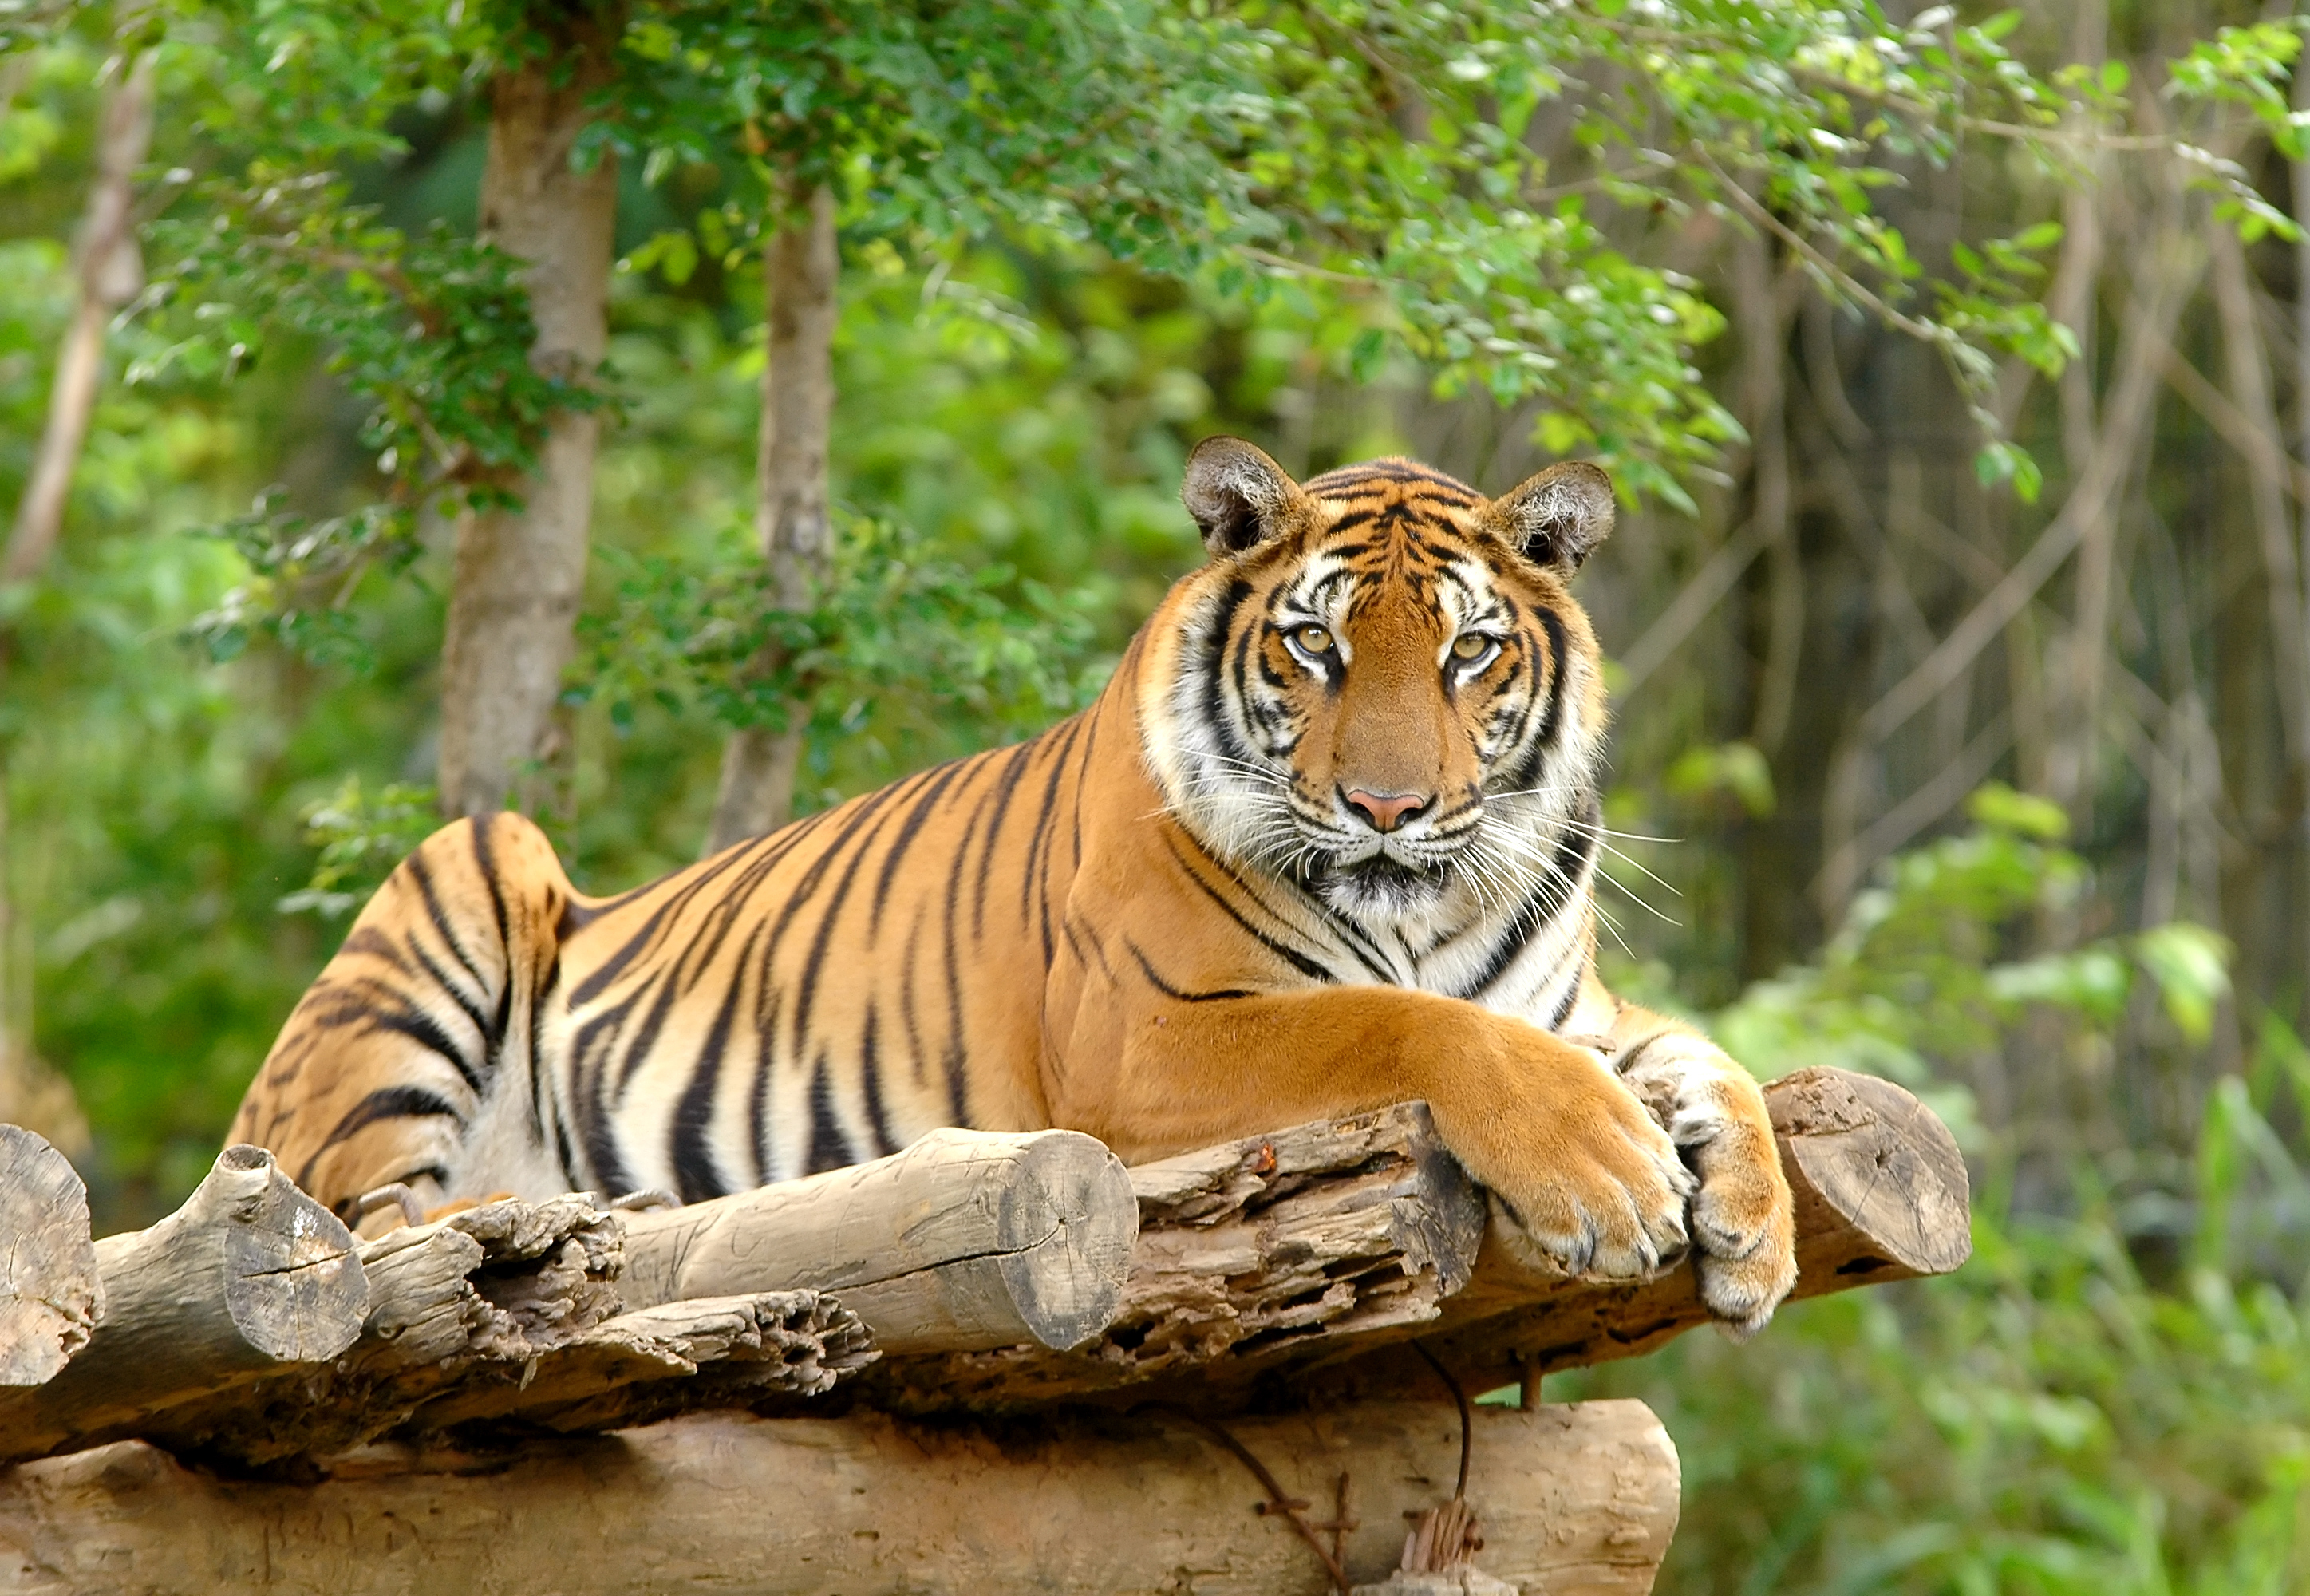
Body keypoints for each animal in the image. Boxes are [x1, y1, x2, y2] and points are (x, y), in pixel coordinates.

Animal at [230, 437, 1798, 1333]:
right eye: (1317, 647)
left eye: (1470, 653)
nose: (1388, 808)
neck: (1423, 911)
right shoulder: (1147, 1040)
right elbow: (1404, 1024)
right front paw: (1610, 1180)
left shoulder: (1574, 1010)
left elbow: (1709, 1057)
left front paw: (1756, 1225)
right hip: (466, 878)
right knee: (368, 1222)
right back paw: (554, 1214)